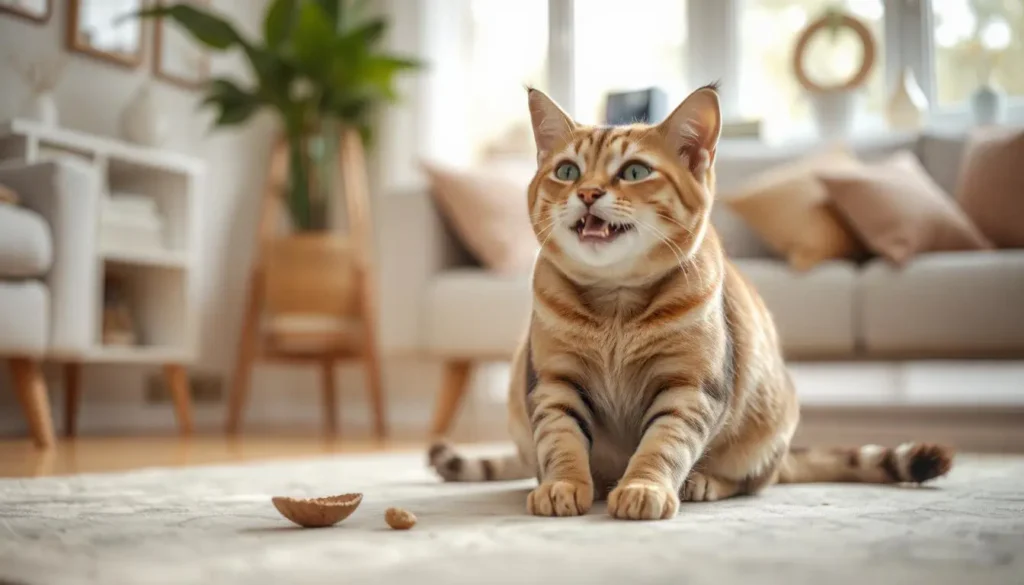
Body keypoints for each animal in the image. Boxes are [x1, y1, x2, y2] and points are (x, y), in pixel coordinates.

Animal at [425, 84, 950, 520]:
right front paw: (563, 485)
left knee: (754, 480)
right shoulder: (554, 381)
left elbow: (664, 445)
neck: (615, 309)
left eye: (635, 171)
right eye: (567, 171)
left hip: (768, 427)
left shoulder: (691, 387)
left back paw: (703, 482)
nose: (588, 193)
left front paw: (644, 488)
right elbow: (561, 440)